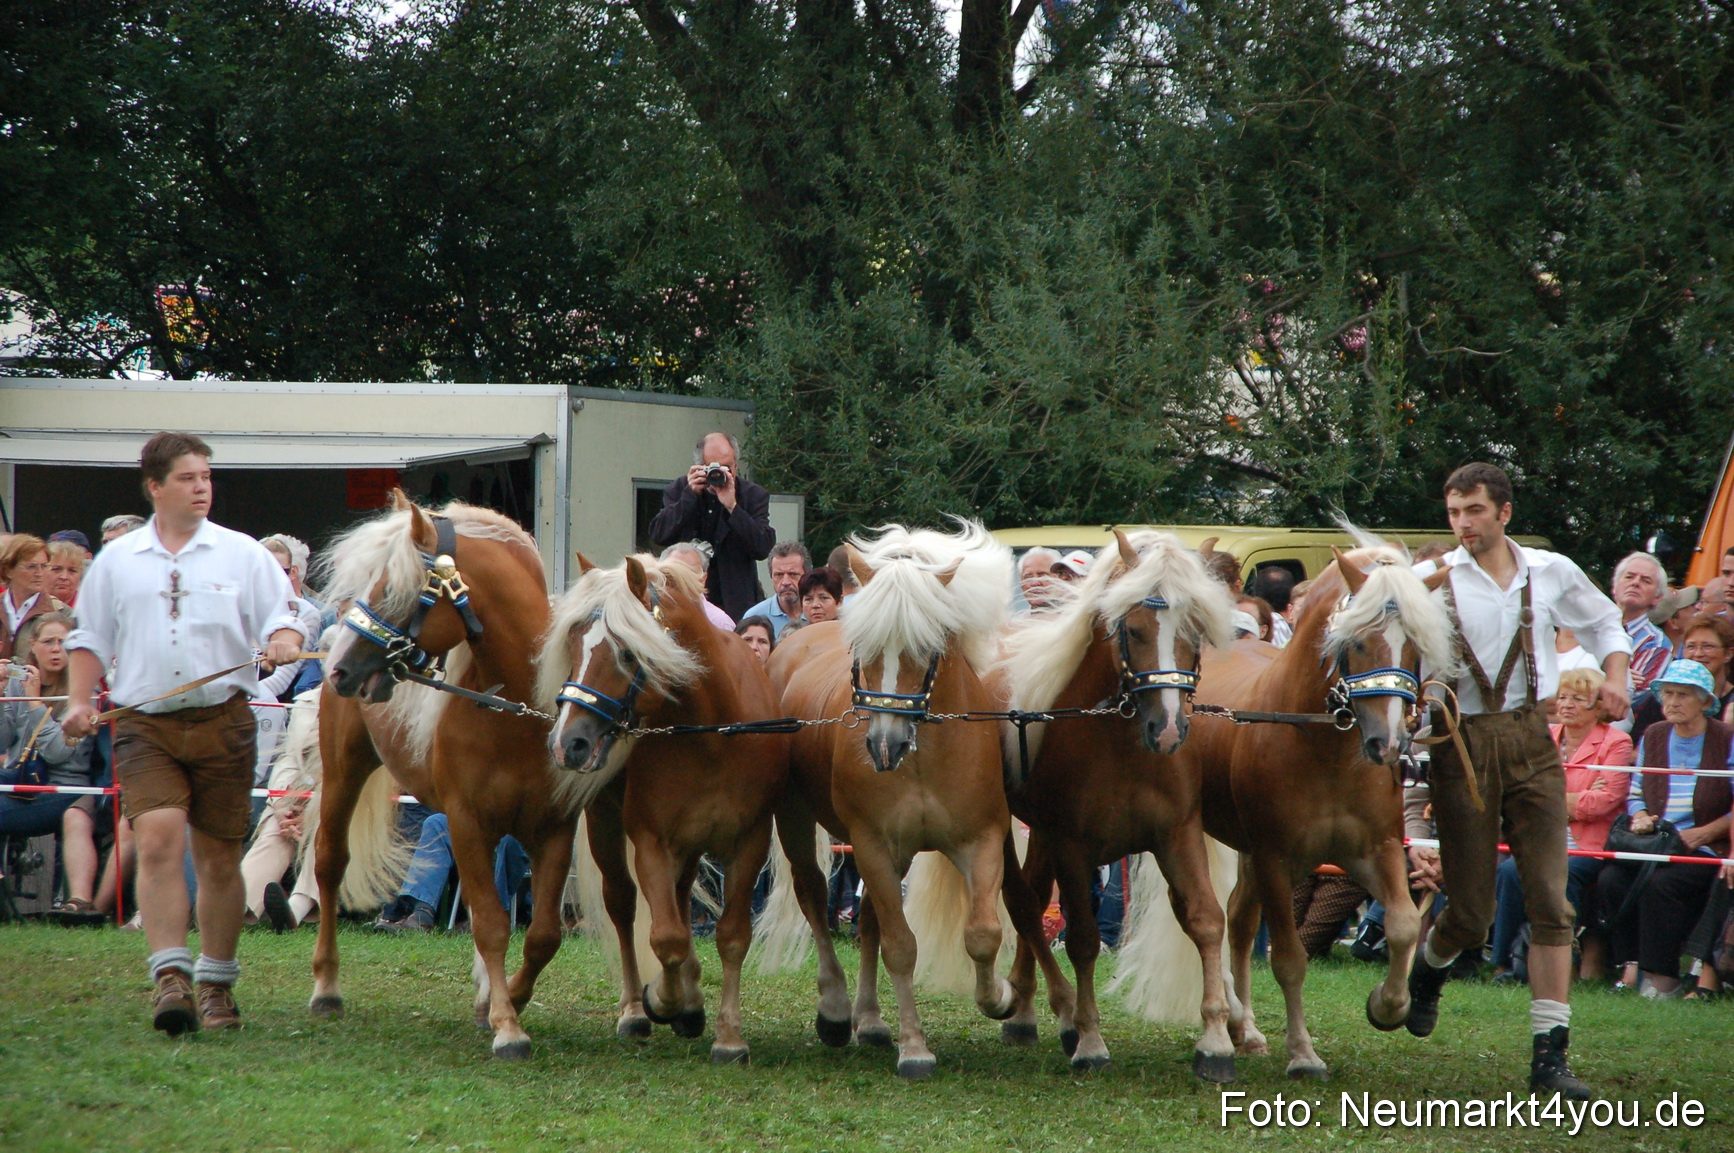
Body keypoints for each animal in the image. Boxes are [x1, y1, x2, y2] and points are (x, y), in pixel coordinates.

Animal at [316, 493, 571, 1059]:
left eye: (393, 589)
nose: (340, 669)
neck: (518, 709)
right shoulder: (467, 820)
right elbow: (494, 924)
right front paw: (507, 1026)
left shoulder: (553, 829)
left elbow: (541, 932)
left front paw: (504, 1002)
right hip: (342, 772)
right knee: (329, 864)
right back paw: (326, 988)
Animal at [536, 552, 851, 1064]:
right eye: (574, 641)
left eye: (627, 652)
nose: (569, 743)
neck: (711, 732)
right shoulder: (651, 841)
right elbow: (666, 936)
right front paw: (665, 1001)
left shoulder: (747, 842)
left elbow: (730, 934)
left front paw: (728, 1035)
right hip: (608, 826)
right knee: (623, 905)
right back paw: (637, 1010)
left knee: (684, 899)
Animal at [768, 520, 1059, 1079]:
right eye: (861, 649)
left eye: (926, 649)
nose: (885, 746)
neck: (923, 759)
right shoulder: (872, 844)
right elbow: (901, 946)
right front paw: (915, 1048)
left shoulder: (979, 839)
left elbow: (983, 932)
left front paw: (1000, 997)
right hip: (798, 821)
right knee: (814, 896)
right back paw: (836, 1012)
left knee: (869, 921)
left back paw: (869, 1021)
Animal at [993, 529, 1240, 1078]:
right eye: (1132, 628)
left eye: (1196, 629)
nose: (1167, 729)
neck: (1122, 747)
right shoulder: (1072, 846)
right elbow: (1083, 938)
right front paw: (1089, 1039)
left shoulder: (1178, 835)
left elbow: (1206, 920)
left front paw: (1215, 1041)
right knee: (1023, 904)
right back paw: (1055, 1015)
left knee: (1033, 897)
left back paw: (1026, 1010)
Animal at [1126, 540, 1455, 1079]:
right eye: (1356, 642)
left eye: (1414, 647)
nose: (1388, 744)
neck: (1322, 747)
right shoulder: (1277, 860)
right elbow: (1288, 958)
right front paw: (1303, 1054)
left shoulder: (1378, 850)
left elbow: (1405, 925)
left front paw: (1387, 1007)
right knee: (1211, 919)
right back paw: (1233, 1021)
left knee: (1238, 920)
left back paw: (1247, 1028)